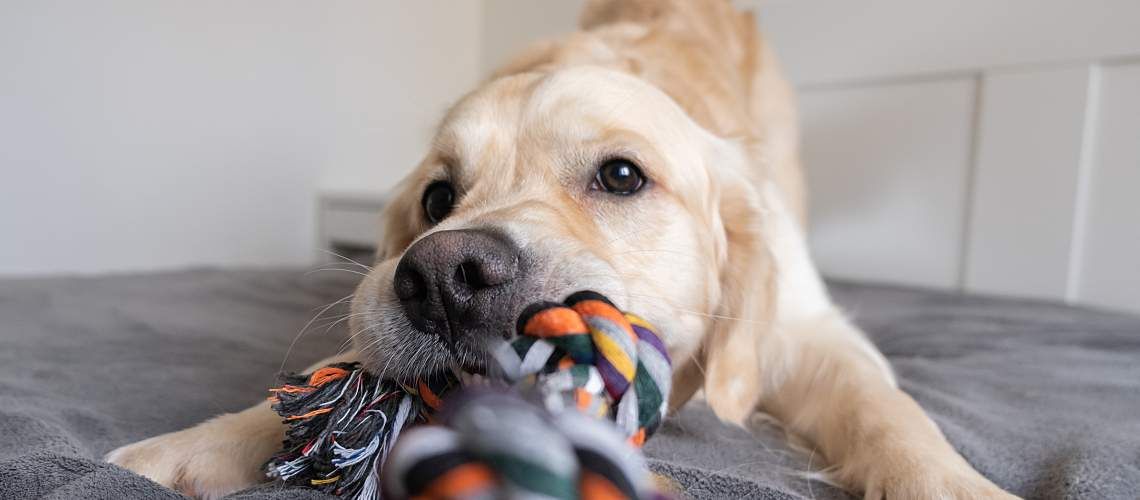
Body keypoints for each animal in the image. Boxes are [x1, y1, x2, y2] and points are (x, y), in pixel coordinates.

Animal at [107, 1, 1016, 498]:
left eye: (621, 175)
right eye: (437, 197)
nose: (443, 277)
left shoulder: (807, 329)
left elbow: (886, 411)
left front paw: (956, 484)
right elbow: (323, 382)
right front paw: (187, 448)